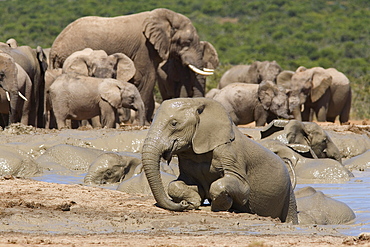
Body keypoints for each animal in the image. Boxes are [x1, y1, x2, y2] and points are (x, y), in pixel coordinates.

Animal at [49, 8, 214, 122]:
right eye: (187, 42)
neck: (163, 16)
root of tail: (54, 48)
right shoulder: (144, 48)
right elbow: (146, 79)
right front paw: (145, 123)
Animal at [142, 97, 298, 224]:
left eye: (174, 123)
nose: (184, 204)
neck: (197, 101)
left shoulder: (230, 153)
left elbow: (236, 187)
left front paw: (219, 207)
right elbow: (175, 185)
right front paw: (193, 201)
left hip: (289, 197)